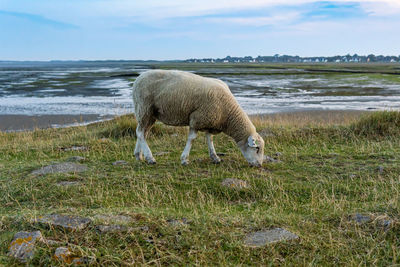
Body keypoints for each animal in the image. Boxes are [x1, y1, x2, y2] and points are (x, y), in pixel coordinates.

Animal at [132, 71, 266, 168]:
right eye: (257, 148)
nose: (259, 165)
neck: (227, 114)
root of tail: (139, 78)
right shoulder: (196, 119)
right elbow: (192, 139)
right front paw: (184, 159)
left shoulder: (209, 120)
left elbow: (209, 139)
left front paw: (215, 157)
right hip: (144, 108)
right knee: (140, 132)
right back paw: (150, 158)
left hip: (150, 114)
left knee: (143, 132)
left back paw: (139, 155)